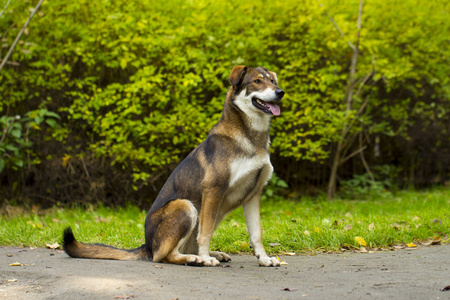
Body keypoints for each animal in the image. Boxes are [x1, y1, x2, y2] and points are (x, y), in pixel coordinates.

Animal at [63, 65, 284, 268]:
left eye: (273, 80)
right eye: (257, 81)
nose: (280, 92)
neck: (251, 139)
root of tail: (147, 246)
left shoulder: (253, 195)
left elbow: (256, 234)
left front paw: (264, 259)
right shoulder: (214, 189)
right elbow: (205, 232)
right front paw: (206, 258)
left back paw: (211, 254)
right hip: (185, 206)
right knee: (163, 256)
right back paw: (195, 258)